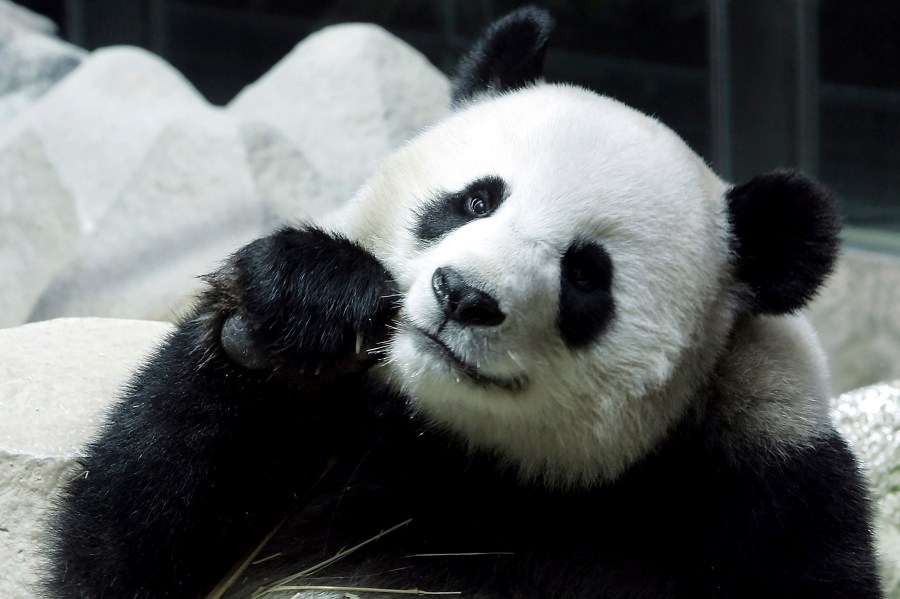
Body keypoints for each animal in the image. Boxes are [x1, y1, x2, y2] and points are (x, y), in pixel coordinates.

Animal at [45, 8, 884, 599]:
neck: (466, 451)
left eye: (587, 274)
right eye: (475, 199)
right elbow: (119, 548)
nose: (465, 295)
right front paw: (300, 303)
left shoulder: (767, 489)